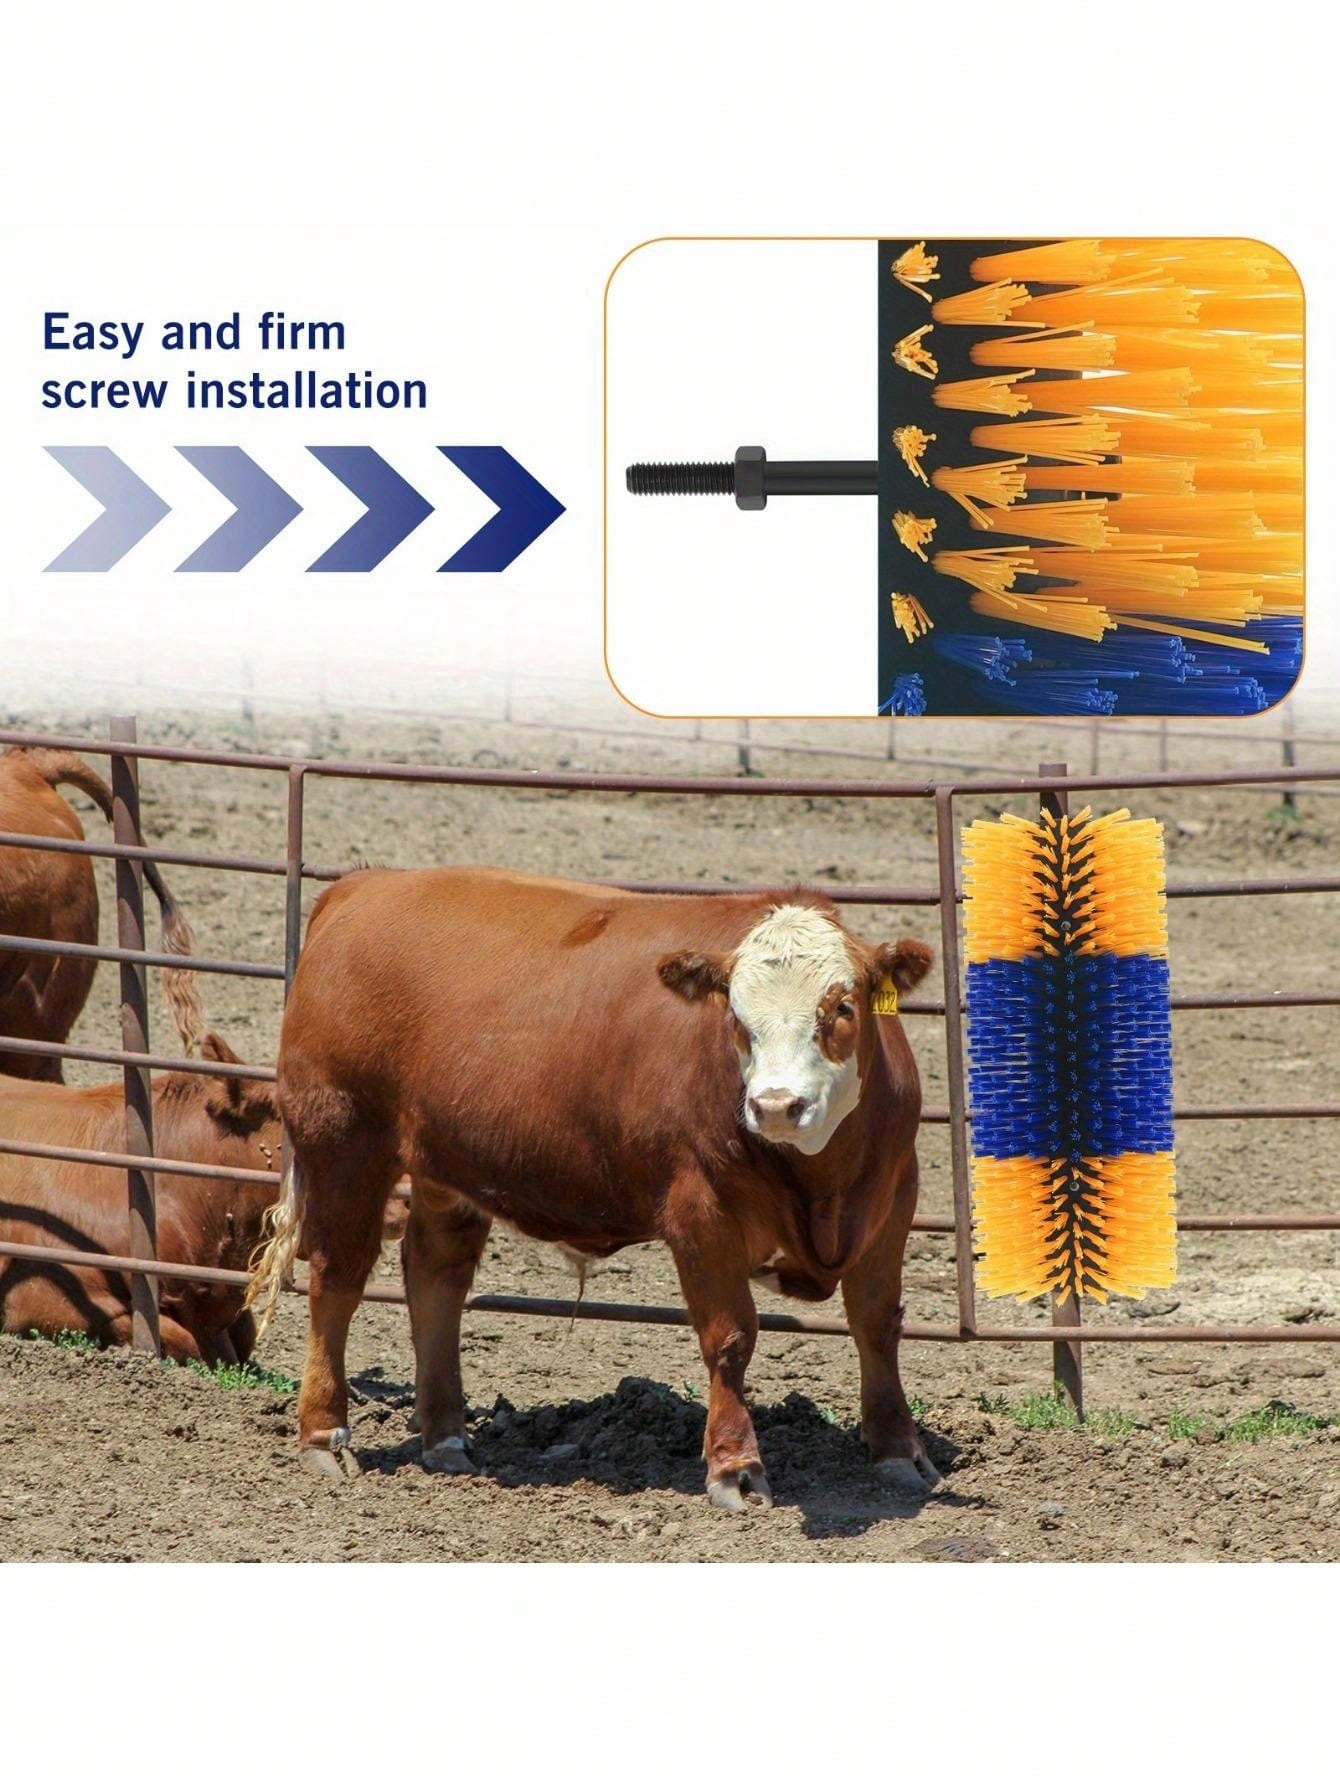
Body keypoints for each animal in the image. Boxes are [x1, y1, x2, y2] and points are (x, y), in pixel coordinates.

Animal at [249, 866, 938, 1507]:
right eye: (737, 1018)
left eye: (841, 1007)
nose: (774, 1106)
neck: (821, 1183)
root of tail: (363, 885)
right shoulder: (700, 1211)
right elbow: (729, 1338)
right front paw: (736, 1469)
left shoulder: (895, 1197)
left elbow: (877, 1322)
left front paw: (899, 1451)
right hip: (343, 1142)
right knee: (337, 1279)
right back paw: (324, 1434)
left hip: (442, 1162)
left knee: (435, 1277)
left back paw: (445, 1438)